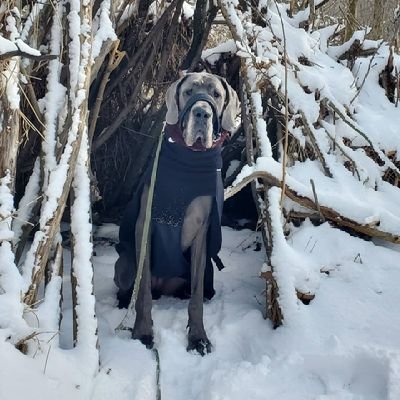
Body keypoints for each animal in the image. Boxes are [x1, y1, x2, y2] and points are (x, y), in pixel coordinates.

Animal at [114, 73, 241, 354]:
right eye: (188, 91)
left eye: (217, 94)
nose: (202, 113)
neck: (190, 160)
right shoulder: (145, 225)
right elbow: (143, 293)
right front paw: (143, 333)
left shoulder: (202, 231)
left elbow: (196, 298)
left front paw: (198, 337)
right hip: (126, 262)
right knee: (133, 284)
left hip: (208, 272)